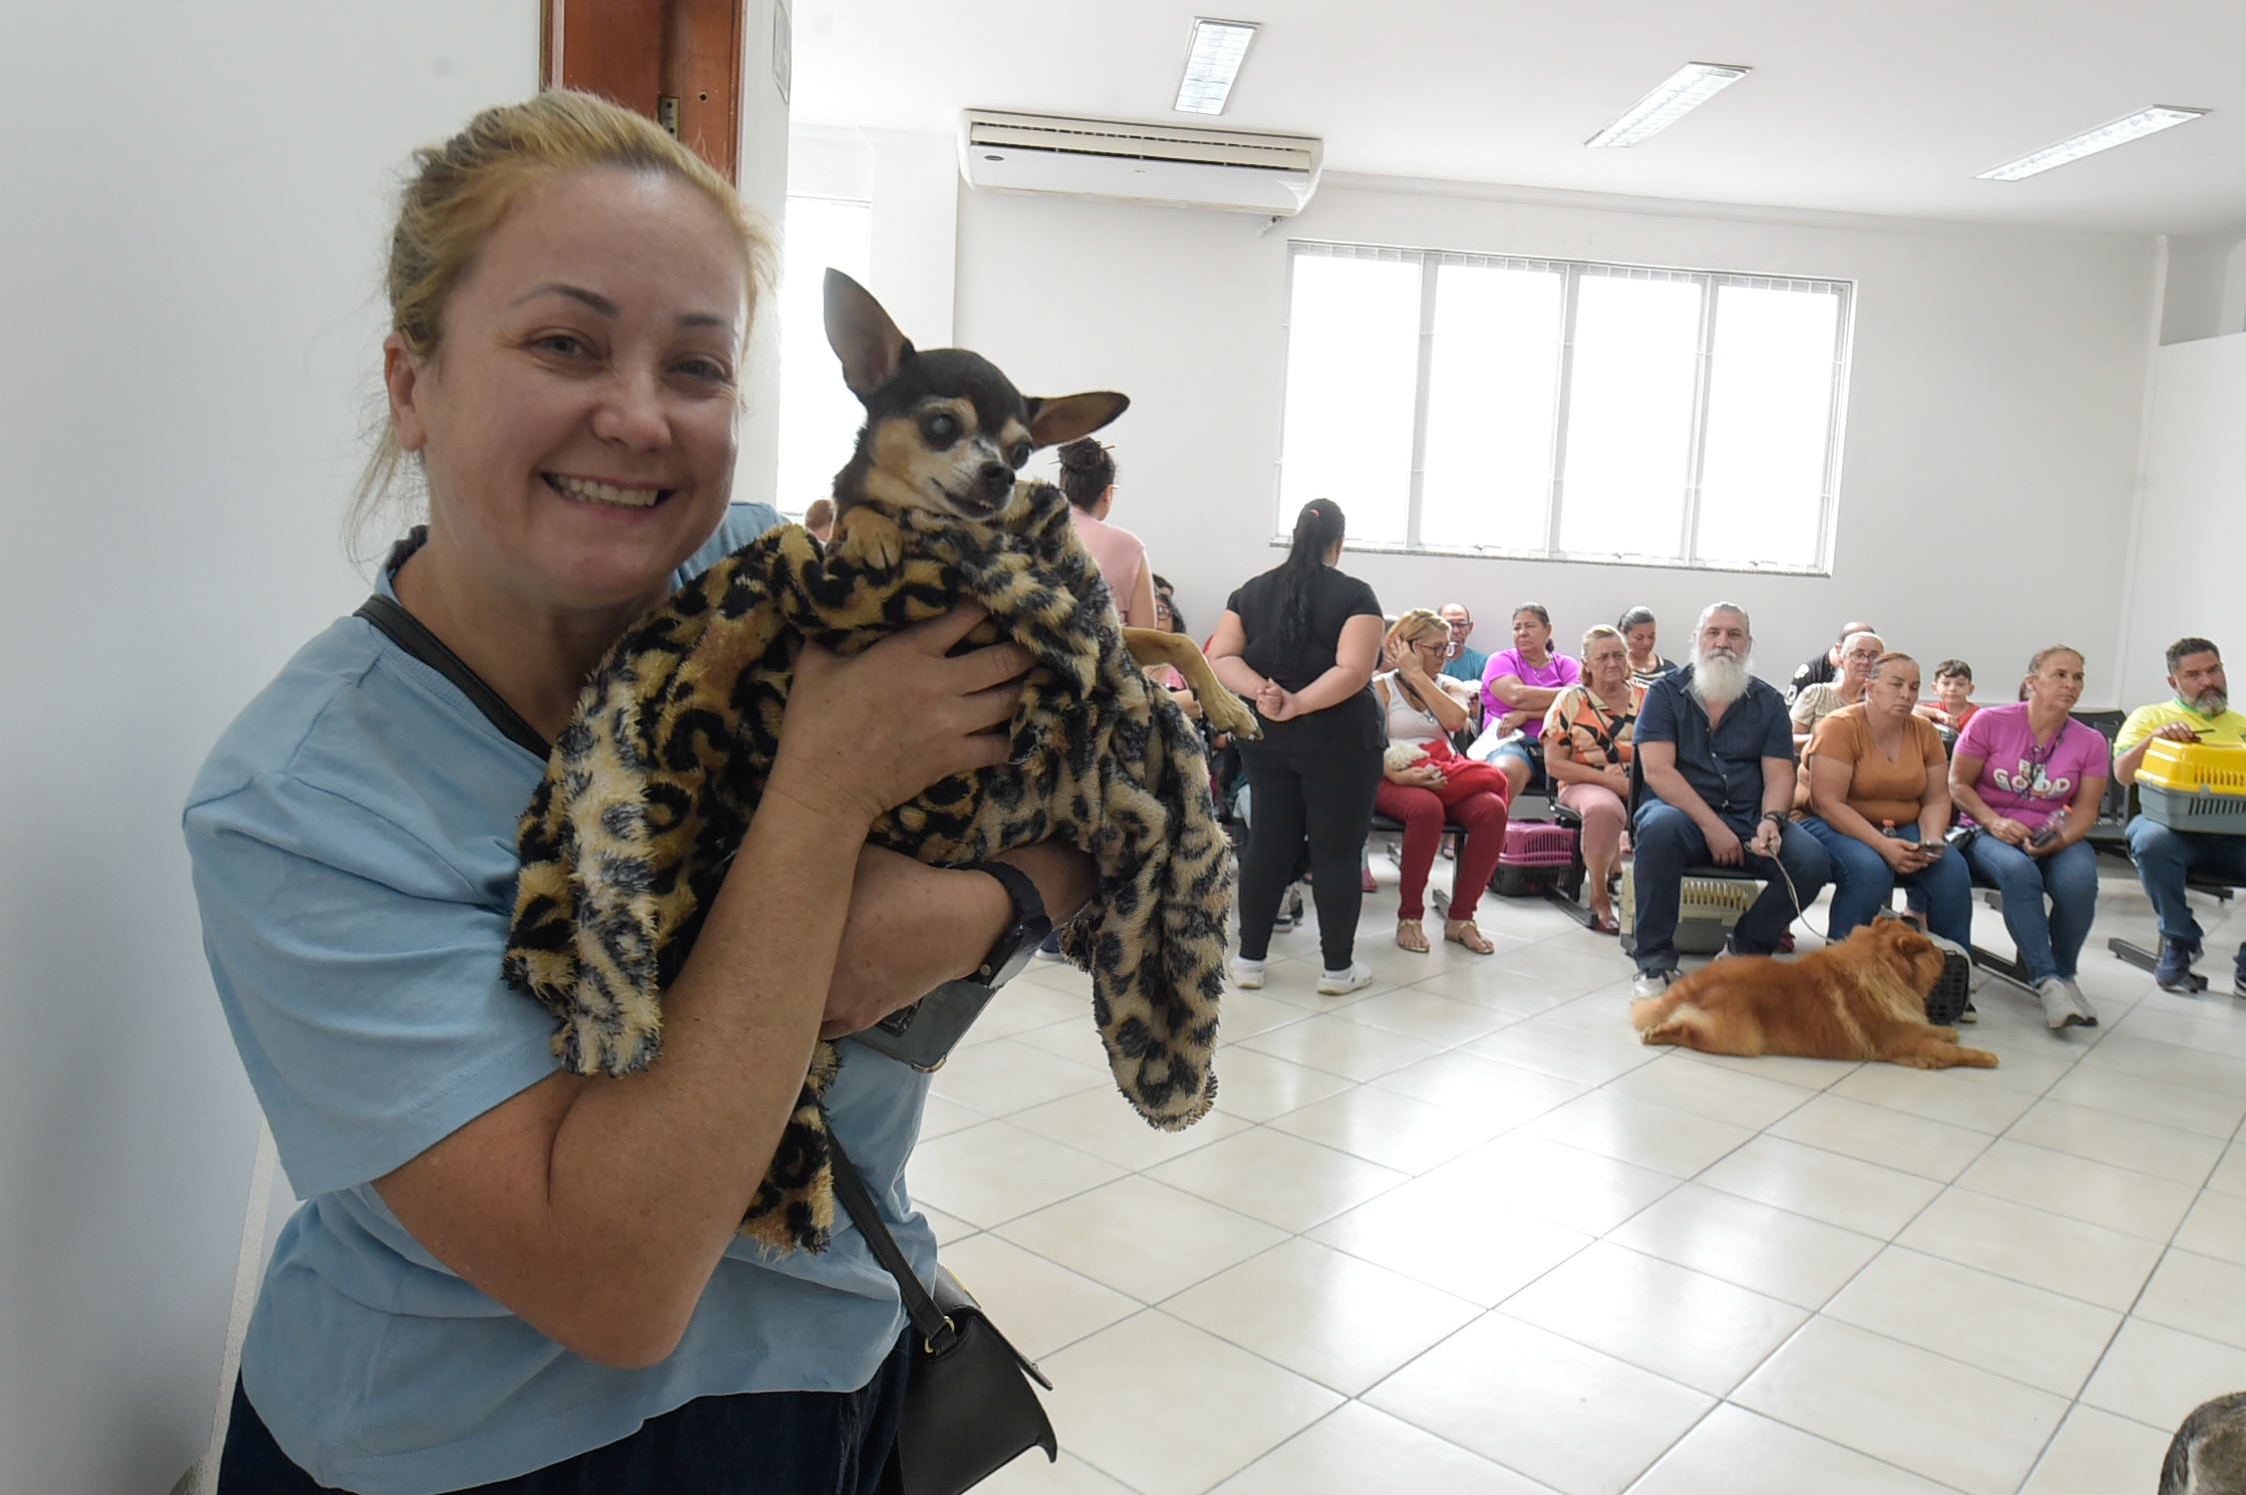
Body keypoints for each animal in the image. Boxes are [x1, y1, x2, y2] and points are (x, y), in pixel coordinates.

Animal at [822, 269, 1258, 738]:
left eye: (1022, 452)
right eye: (941, 424)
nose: (1002, 474)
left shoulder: (1109, 642)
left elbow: (1178, 639)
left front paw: (1226, 704)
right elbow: (849, 507)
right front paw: (873, 530)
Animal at [1630, 919, 1997, 1069]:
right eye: (1934, 951)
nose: (1941, 950)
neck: (1884, 973)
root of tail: (1700, 979)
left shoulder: (1911, 1028)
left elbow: (1934, 1030)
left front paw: (1948, 1031)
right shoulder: (1904, 1042)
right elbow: (1949, 1051)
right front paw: (1984, 1057)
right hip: (1739, 1037)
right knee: (1688, 1030)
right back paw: (1659, 1033)